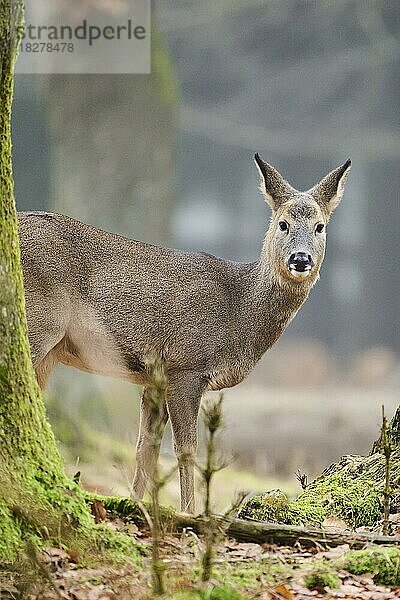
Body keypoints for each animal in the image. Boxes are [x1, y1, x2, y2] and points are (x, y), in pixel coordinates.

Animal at [18, 154, 350, 510]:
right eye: (283, 224)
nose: (301, 259)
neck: (239, 312)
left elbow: (145, 448)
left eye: (320, 226)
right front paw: (190, 512)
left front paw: (135, 504)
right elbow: (186, 450)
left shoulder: (156, 378)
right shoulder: (186, 365)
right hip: (38, 323)